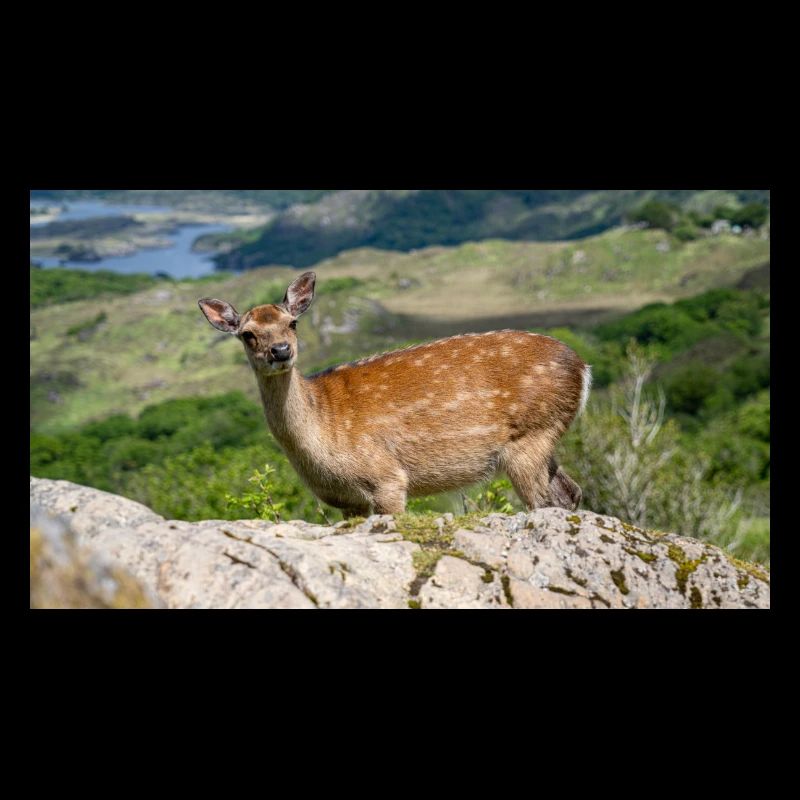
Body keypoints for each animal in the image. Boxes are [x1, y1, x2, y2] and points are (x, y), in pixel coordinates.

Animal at [199, 271, 591, 518]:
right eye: (247, 334)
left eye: (292, 323)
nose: (280, 351)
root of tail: (583, 368)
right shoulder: (346, 501)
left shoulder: (386, 477)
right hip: (542, 439)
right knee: (569, 492)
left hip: (530, 436)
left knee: (543, 502)